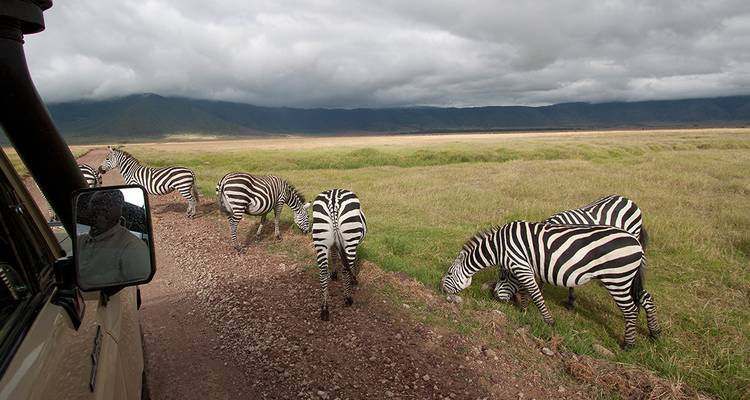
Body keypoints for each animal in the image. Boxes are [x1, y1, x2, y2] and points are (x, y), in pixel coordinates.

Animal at [312, 189, 367, 321]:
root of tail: (333, 200)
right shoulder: (354, 245)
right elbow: (350, 264)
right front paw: (353, 279)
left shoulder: (333, 245)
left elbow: (334, 256)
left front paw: (334, 274)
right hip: (350, 237)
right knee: (345, 269)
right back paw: (348, 299)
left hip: (320, 238)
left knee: (323, 272)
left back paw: (324, 309)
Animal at [442, 221, 660, 348]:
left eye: (450, 273)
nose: (441, 288)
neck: (499, 247)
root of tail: (636, 241)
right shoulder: (527, 267)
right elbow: (526, 290)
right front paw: (523, 309)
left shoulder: (520, 264)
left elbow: (535, 294)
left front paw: (548, 321)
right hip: (627, 278)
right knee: (646, 298)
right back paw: (655, 334)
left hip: (617, 279)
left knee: (630, 309)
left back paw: (628, 344)